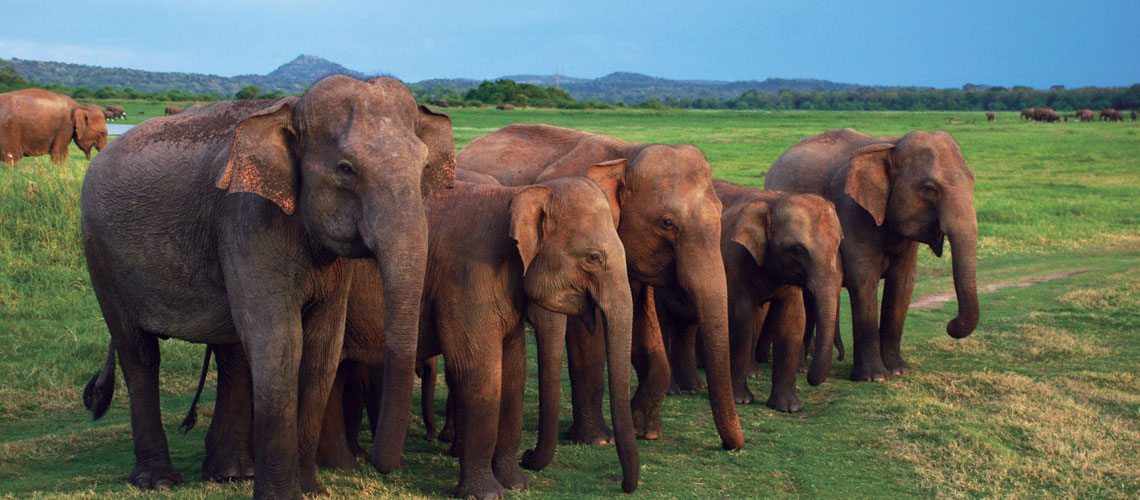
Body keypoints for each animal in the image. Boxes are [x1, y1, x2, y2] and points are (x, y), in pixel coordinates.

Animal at [79, 75, 456, 499]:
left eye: (424, 166)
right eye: (346, 169)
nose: (381, 465)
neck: (291, 110)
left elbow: (323, 350)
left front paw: (310, 490)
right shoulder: (246, 219)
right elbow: (280, 344)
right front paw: (283, 494)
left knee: (232, 354)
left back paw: (230, 474)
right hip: (101, 255)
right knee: (139, 354)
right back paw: (158, 481)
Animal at [460, 124, 745, 464]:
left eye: (720, 214)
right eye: (667, 223)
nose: (731, 446)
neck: (627, 154)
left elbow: (641, 321)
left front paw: (643, 429)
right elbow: (587, 333)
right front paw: (598, 440)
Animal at [655, 180, 843, 412]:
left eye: (838, 245)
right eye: (798, 250)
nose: (809, 378)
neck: (773, 201)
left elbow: (792, 320)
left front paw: (789, 408)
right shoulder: (732, 260)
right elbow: (741, 319)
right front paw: (742, 400)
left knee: (686, 326)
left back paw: (694, 386)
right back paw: (673, 391)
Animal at [765, 128, 979, 382]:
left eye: (973, 180)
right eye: (929, 188)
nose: (951, 324)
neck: (892, 146)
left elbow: (903, 283)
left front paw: (898, 370)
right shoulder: (852, 209)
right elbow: (864, 279)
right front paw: (873, 377)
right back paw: (800, 367)